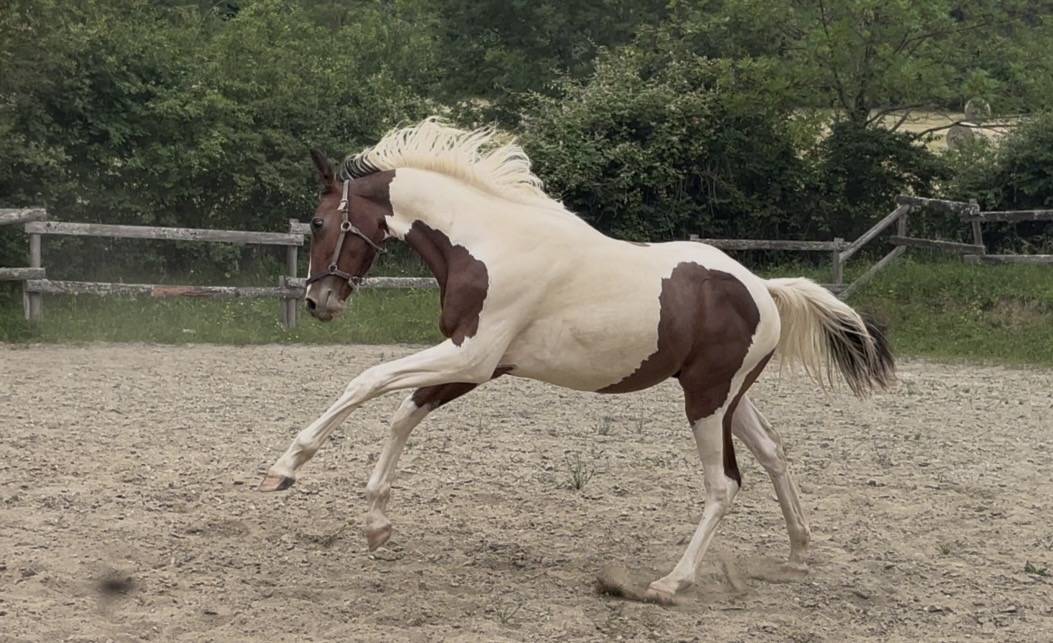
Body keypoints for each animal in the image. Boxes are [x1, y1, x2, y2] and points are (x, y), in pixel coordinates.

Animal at [258, 119, 894, 603]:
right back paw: (798, 552)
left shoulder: (471, 355)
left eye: (319, 222)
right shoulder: (478, 365)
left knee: (724, 483)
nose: (318, 301)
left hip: (707, 399)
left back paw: (670, 583)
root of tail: (763, 288)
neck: (488, 243)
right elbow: (401, 415)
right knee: (774, 453)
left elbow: (367, 381)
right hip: (726, 396)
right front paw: (376, 525)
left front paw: (284, 469)